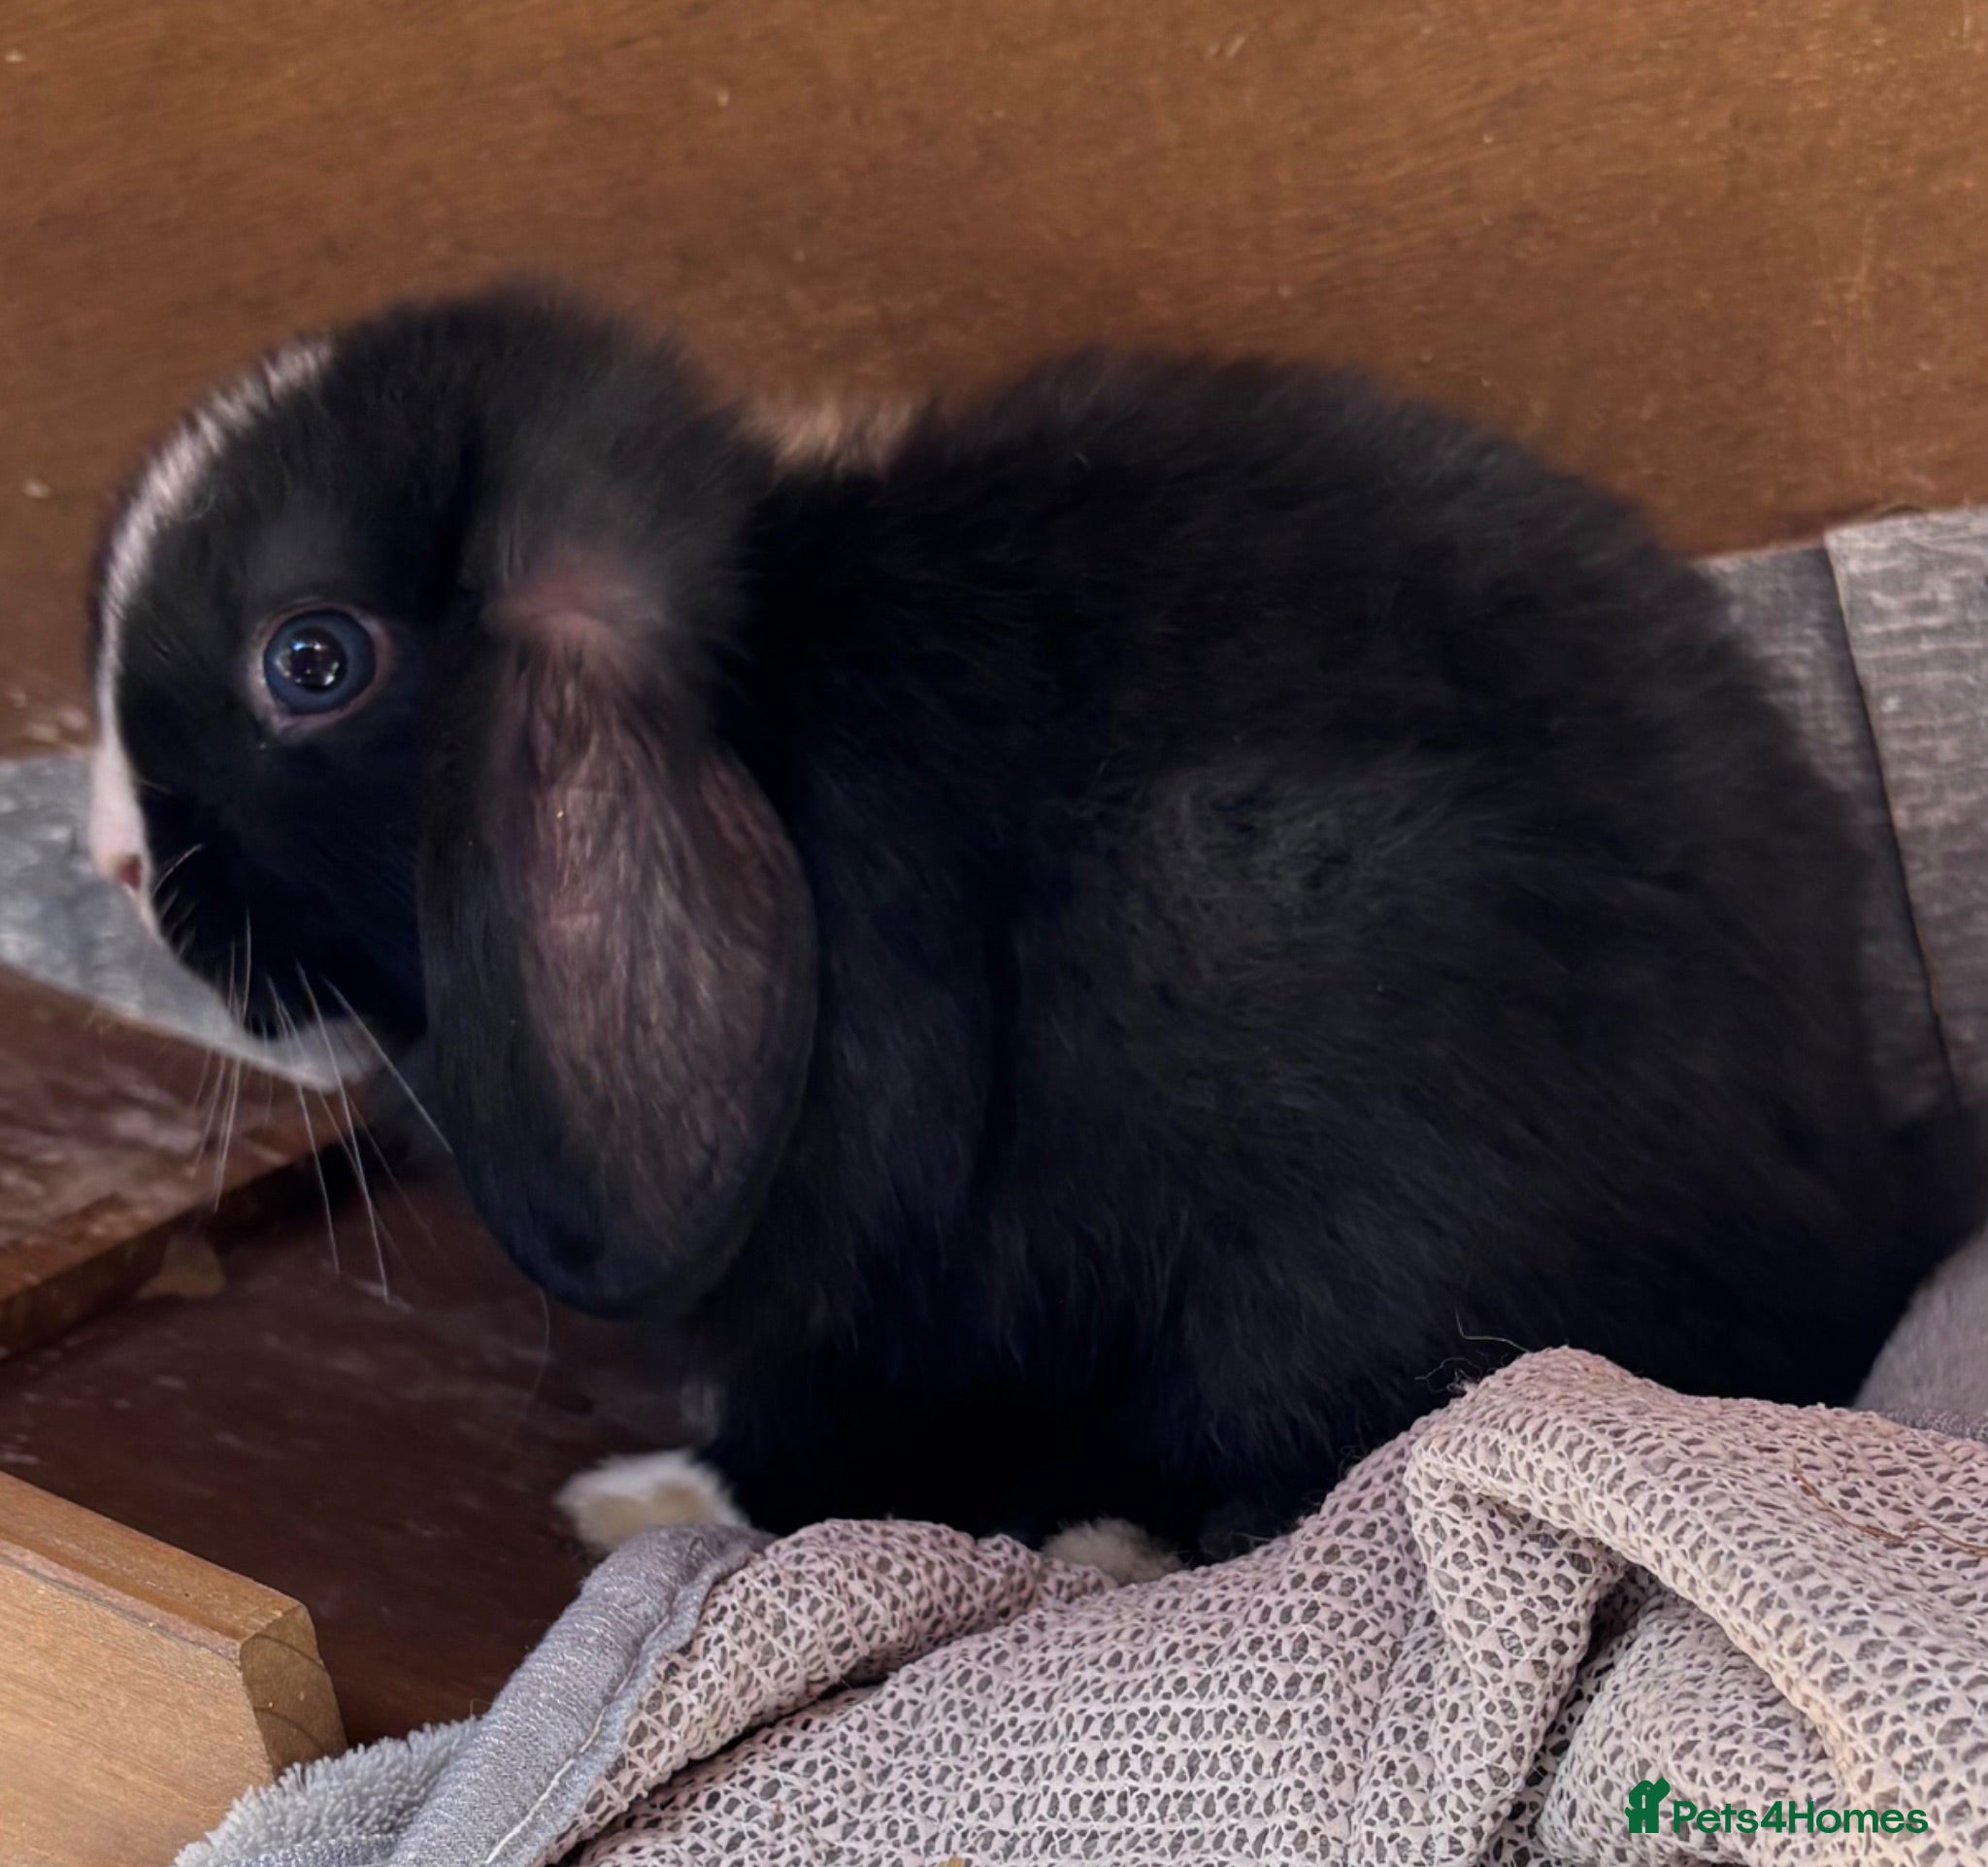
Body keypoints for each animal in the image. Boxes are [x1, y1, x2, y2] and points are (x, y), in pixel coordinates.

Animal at [84, 284, 1981, 1564]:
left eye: (309, 659)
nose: (106, 860)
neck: (750, 722)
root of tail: (1848, 1214)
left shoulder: (838, 1288)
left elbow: (802, 1441)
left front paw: (641, 1504)